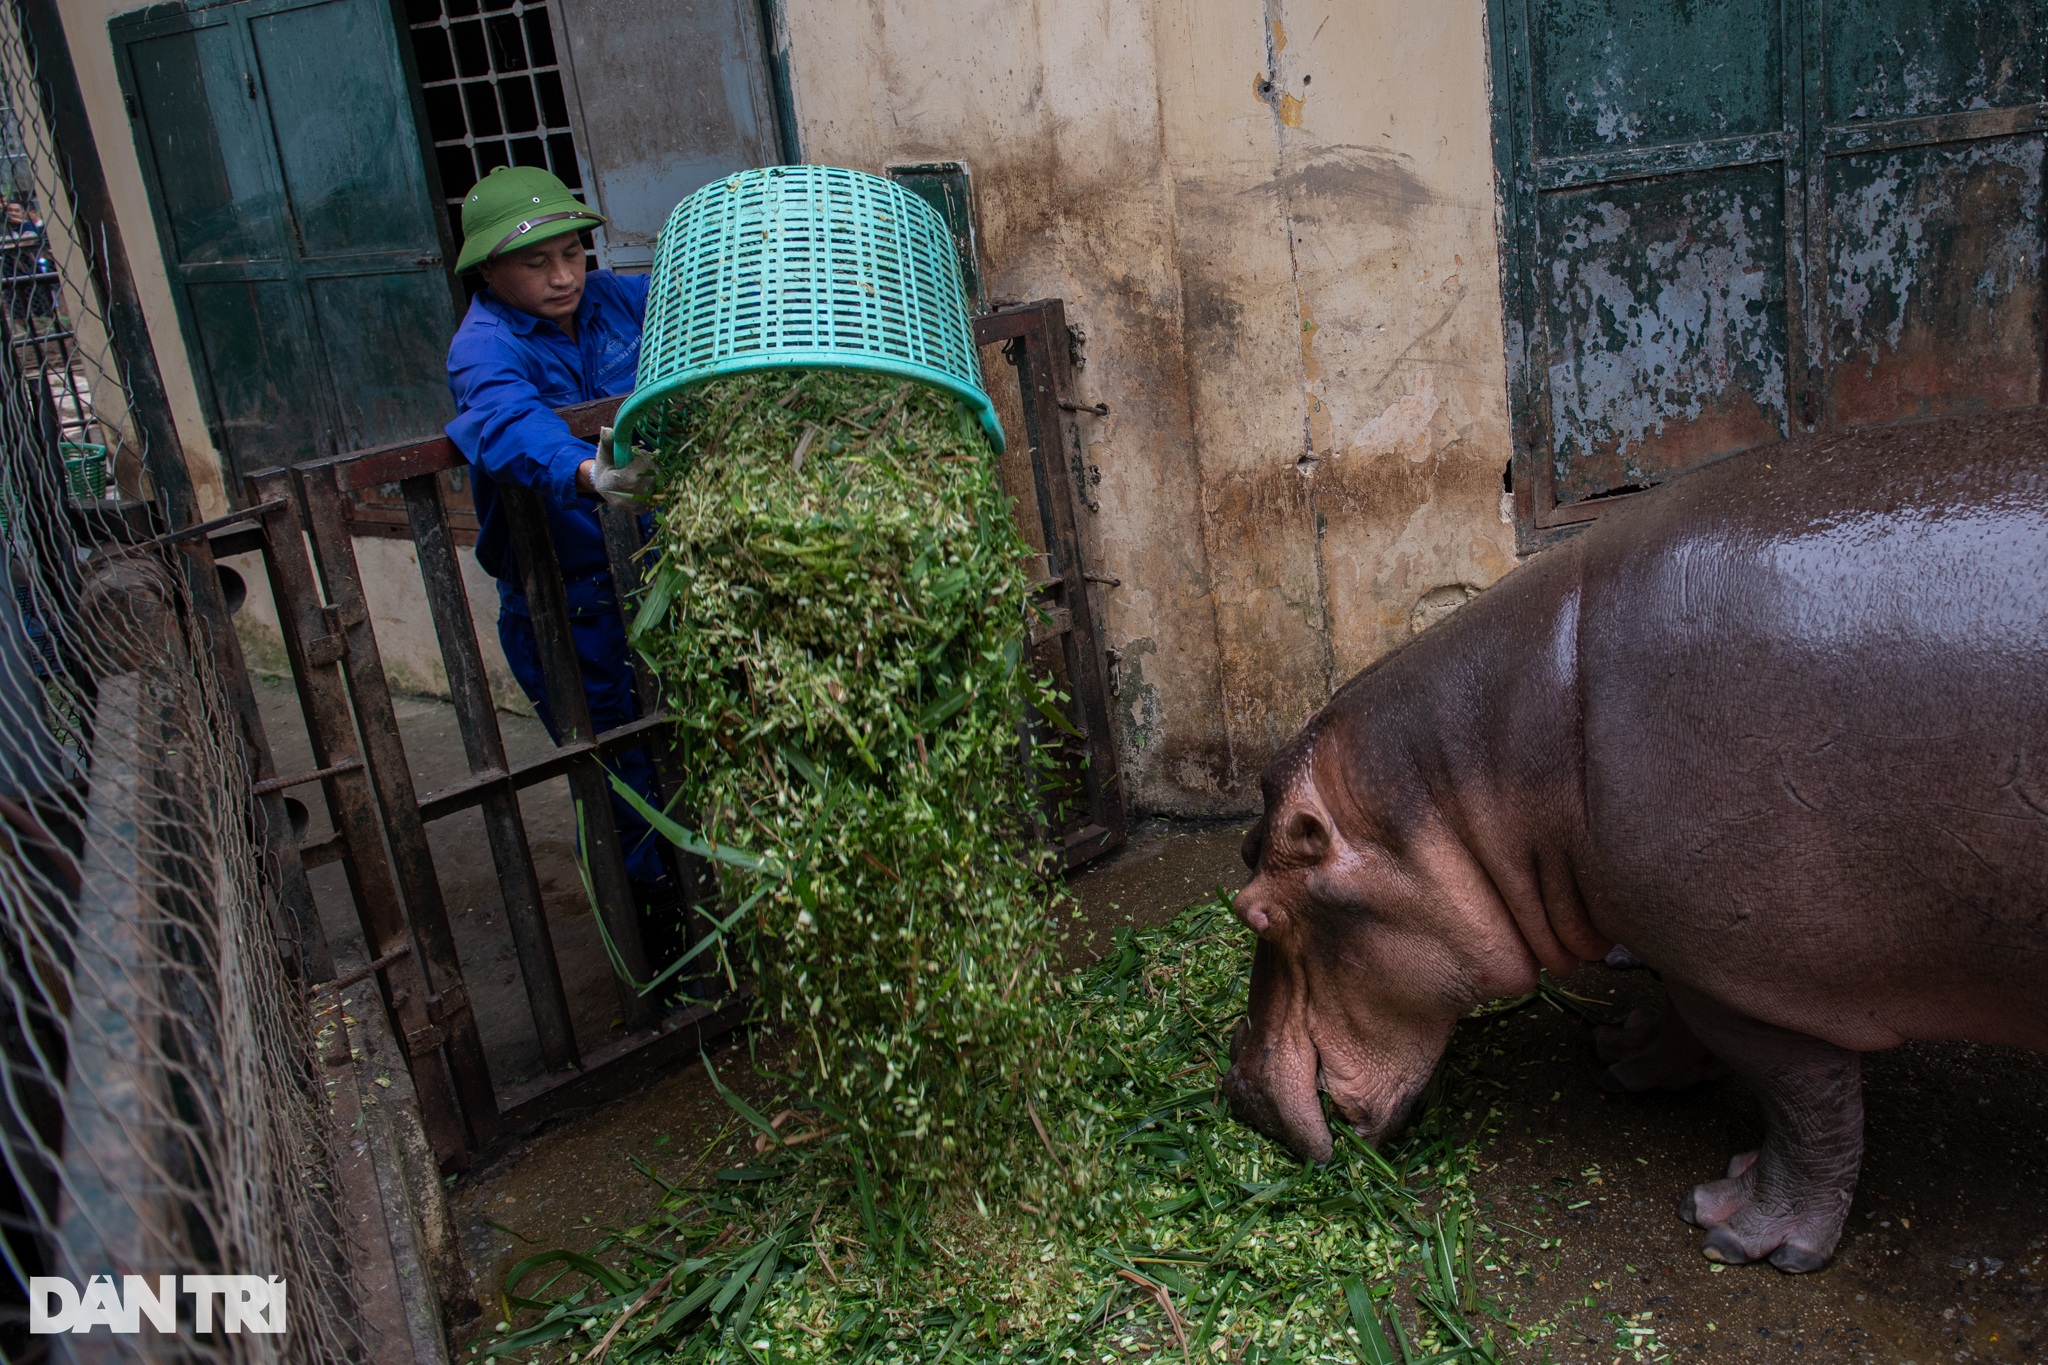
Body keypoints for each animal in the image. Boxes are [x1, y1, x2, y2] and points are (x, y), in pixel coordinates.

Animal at [1220, 403, 2048, 1268]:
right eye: (1243, 859)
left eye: (1255, 909)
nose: (1235, 1089)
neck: (1485, 779)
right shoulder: (1688, 947)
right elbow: (1694, 1023)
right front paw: (1626, 1053)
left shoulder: (1763, 976)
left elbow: (1806, 1103)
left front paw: (1737, 1227)